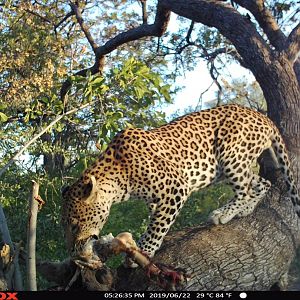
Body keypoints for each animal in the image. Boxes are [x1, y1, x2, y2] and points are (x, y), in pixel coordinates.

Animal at [61, 103, 300, 258]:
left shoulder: (175, 188)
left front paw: (145, 249)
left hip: (231, 153)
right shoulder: (155, 199)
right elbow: (157, 219)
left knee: (245, 190)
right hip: (228, 167)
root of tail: (263, 117)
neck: (117, 179)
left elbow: (158, 224)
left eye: (74, 225)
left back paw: (223, 213)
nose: (72, 251)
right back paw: (245, 209)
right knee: (262, 183)